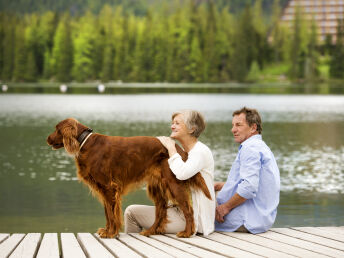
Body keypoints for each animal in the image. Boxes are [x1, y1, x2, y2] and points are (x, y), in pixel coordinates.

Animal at [46, 118, 211, 238]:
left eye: (57, 129)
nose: (47, 139)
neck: (85, 142)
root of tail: (178, 148)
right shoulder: (104, 189)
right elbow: (107, 212)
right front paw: (107, 230)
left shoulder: (109, 187)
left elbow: (112, 213)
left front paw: (111, 233)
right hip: (156, 186)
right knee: (161, 210)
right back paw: (150, 231)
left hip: (173, 183)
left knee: (188, 210)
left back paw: (187, 233)